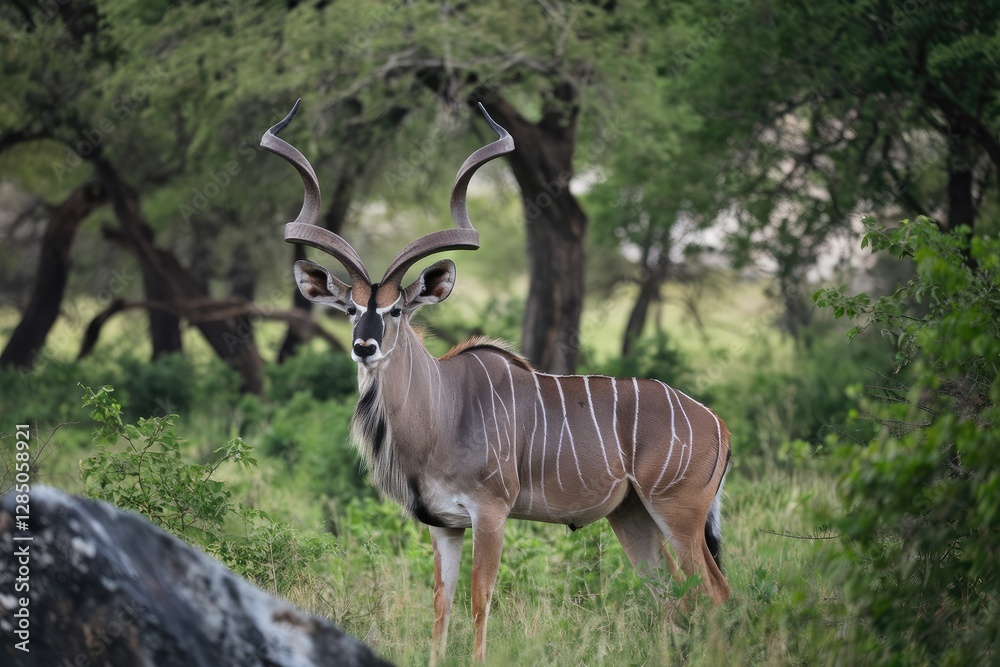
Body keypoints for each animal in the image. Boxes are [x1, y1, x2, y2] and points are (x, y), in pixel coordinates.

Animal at [261, 101, 732, 663]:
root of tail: (717, 425)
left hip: (678, 514)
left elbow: (479, 601)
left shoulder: (491, 514)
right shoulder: (444, 525)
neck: (442, 411)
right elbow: (440, 606)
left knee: (713, 593)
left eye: (396, 309)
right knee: (672, 595)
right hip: (633, 516)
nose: (364, 346)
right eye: (351, 308)